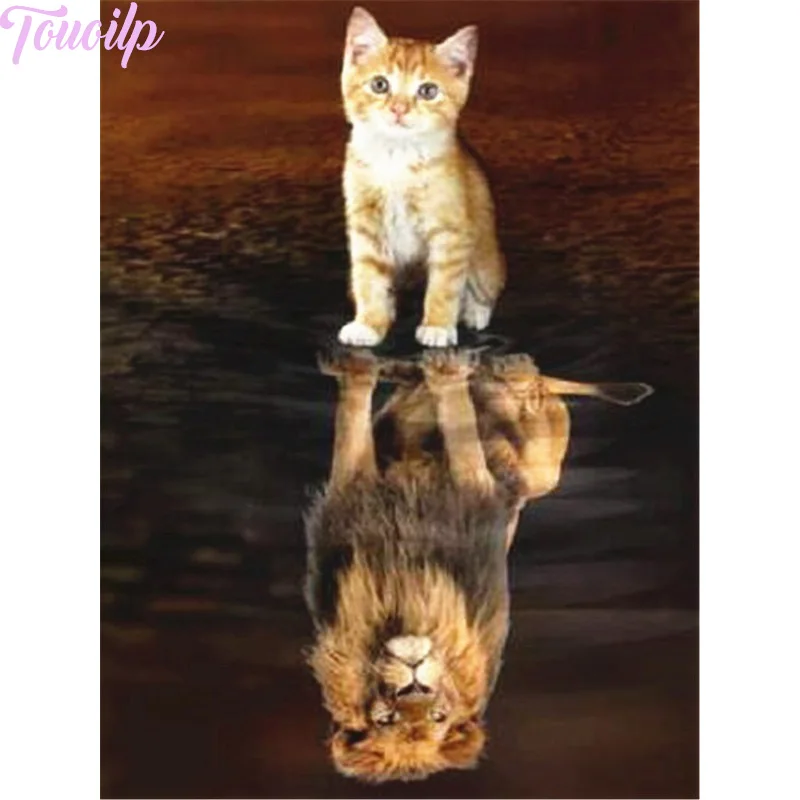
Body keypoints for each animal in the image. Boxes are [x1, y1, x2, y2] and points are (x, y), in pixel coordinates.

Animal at [304, 348, 652, 782]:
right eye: (386, 719)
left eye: (438, 717)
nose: (414, 682)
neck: (401, 605)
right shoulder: (353, 491)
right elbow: (358, 416)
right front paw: (381, 372)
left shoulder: (473, 489)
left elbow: (455, 423)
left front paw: (441, 373)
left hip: (541, 466)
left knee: (506, 387)